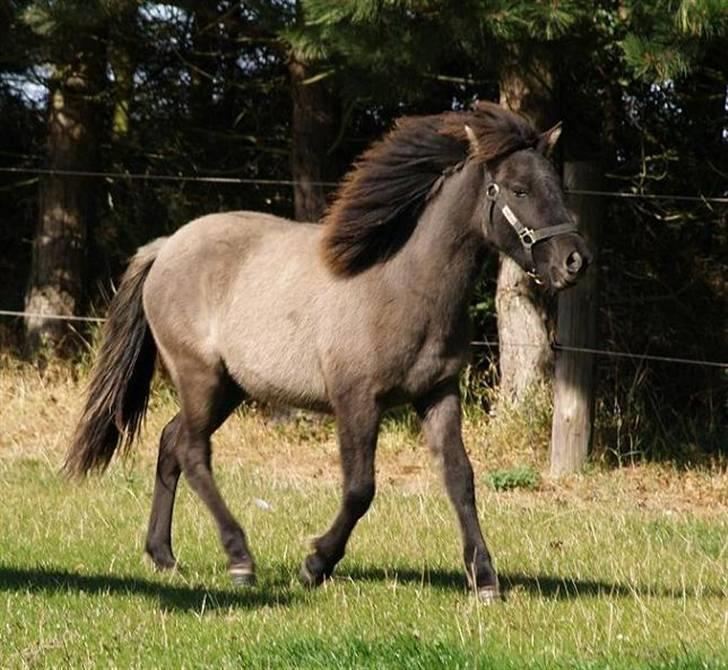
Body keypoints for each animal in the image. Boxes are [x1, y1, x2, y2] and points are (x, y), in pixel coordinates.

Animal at [67, 102, 592, 608]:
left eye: (557, 187)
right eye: (520, 190)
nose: (575, 261)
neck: (403, 284)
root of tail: (166, 246)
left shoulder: (438, 394)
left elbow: (460, 479)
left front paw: (484, 580)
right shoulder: (356, 399)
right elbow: (360, 488)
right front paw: (316, 564)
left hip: (227, 388)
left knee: (171, 441)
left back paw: (163, 555)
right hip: (200, 377)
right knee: (193, 451)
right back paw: (240, 559)